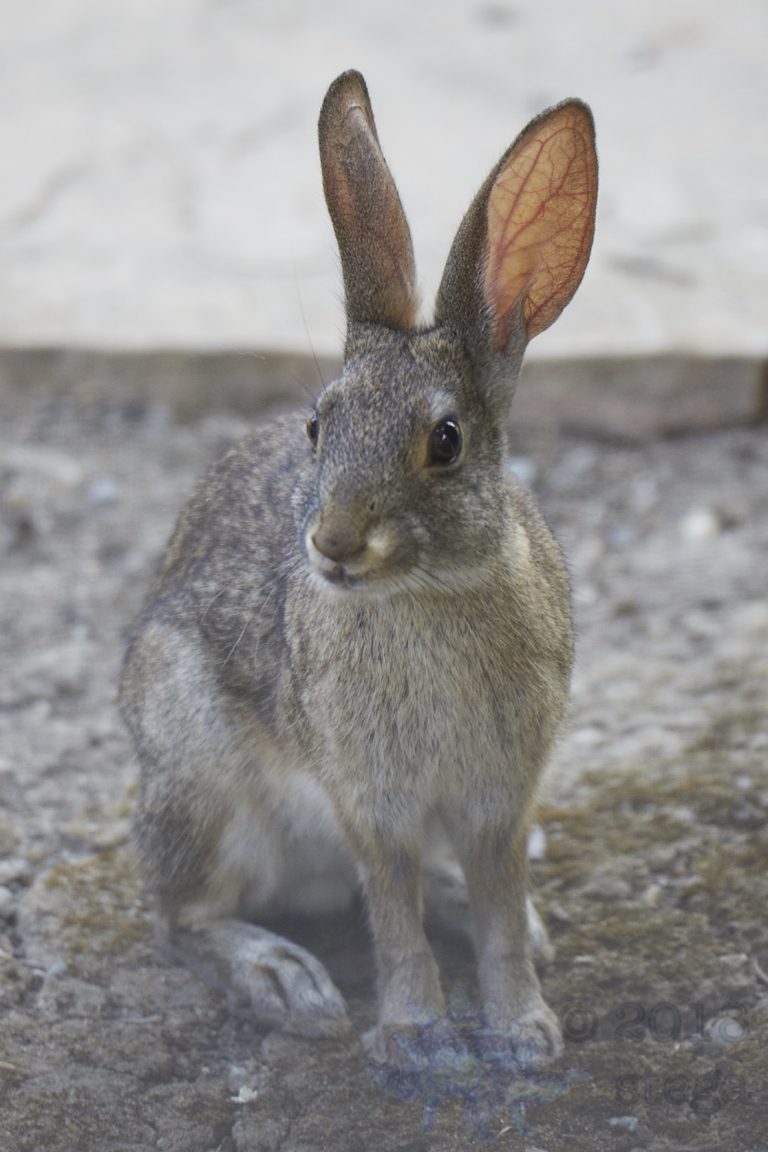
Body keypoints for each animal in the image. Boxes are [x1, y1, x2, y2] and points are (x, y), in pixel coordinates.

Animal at [119, 69, 598, 1067]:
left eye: (446, 442)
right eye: (318, 426)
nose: (334, 543)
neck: (429, 591)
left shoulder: (501, 797)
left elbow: (496, 908)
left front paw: (525, 1030)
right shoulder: (370, 798)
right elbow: (391, 910)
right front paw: (417, 1034)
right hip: (203, 781)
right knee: (179, 917)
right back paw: (283, 980)